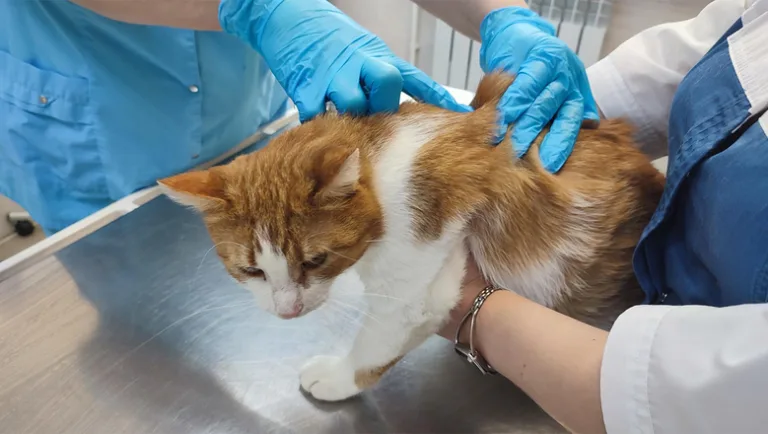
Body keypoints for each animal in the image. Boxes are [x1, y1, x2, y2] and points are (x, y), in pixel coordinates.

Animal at [159, 72, 665, 402]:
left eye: (316, 261)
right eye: (250, 270)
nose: (288, 313)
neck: (383, 161)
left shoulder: (416, 281)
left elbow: (373, 347)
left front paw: (336, 379)